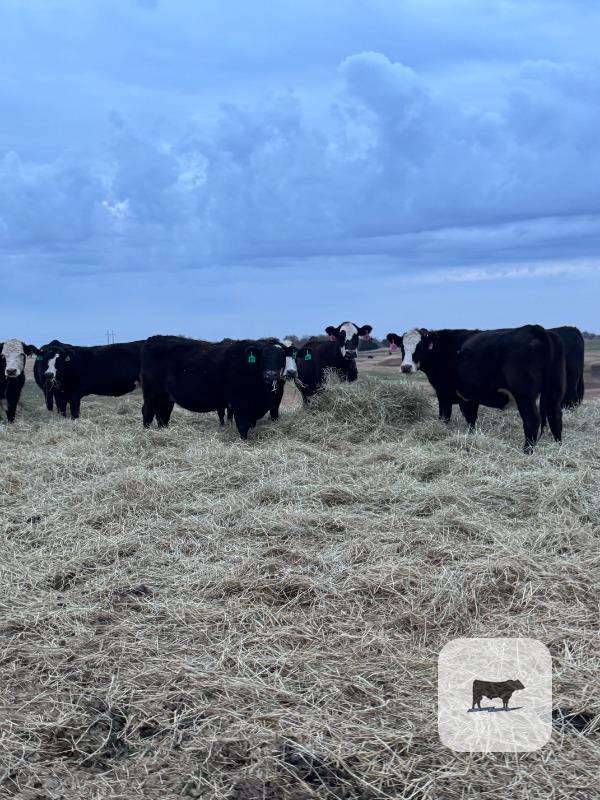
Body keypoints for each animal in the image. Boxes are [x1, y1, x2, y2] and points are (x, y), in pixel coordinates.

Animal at [141, 336, 297, 439]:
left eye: (282, 356)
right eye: (263, 357)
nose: (271, 374)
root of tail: (153, 339)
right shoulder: (240, 404)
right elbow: (242, 426)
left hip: (166, 397)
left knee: (163, 415)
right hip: (151, 393)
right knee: (147, 413)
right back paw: (146, 433)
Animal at [387, 325, 566, 452]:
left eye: (420, 346)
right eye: (402, 347)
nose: (406, 367)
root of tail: (535, 328)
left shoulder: (444, 394)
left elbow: (445, 417)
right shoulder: (469, 397)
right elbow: (471, 420)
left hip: (525, 396)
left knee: (531, 421)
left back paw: (527, 451)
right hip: (554, 391)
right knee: (555, 417)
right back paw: (558, 447)